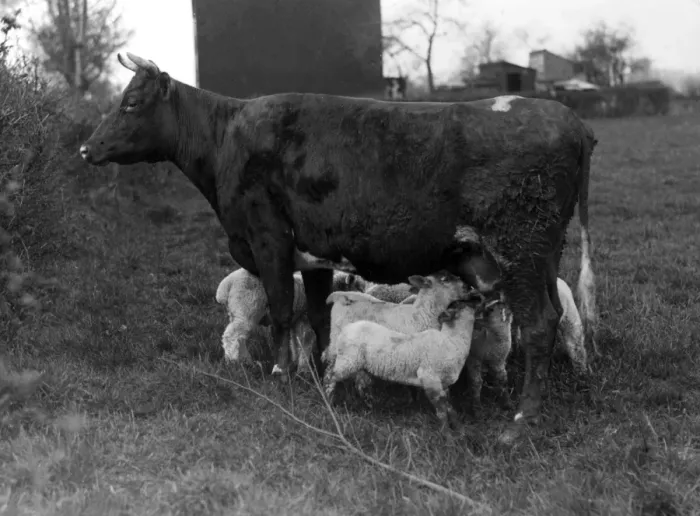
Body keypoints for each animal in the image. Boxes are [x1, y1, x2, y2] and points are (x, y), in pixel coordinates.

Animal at [215, 268, 363, 364]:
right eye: (359, 289)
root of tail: (225, 285)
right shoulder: (305, 319)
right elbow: (305, 340)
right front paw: (304, 367)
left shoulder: (296, 320)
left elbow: (295, 341)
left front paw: (295, 361)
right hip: (247, 308)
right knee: (232, 335)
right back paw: (234, 361)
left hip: (237, 312)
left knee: (239, 337)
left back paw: (246, 360)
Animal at [323, 296, 483, 431]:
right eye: (463, 304)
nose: (479, 299)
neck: (452, 340)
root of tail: (345, 330)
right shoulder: (429, 377)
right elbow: (441, 411)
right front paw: (447, 435)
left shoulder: (443, 384)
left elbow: (449, 407)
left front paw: (458, 429)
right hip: (348, 360)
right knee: (330, 377)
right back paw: (329, 404)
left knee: (354, 382)